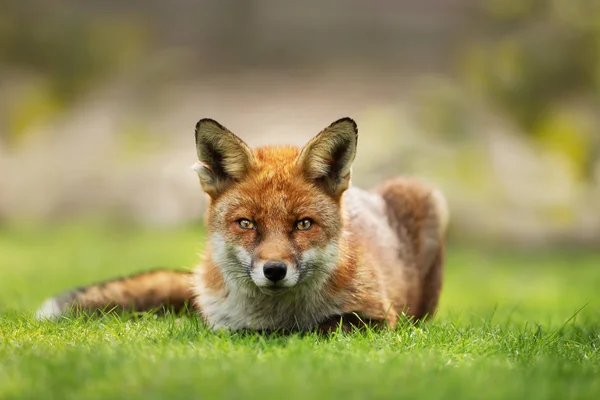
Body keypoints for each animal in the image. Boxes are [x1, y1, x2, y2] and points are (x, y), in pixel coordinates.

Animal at [36, 117, 450, 332]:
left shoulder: (379, 317)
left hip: (424, 201)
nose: (275, 270)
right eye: (246, 223)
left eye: (303, 224)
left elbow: (331, 324)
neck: (277, 318)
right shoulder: (220, 324)